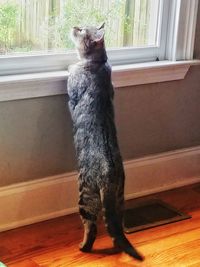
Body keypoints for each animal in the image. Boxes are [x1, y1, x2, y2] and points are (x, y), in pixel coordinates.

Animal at [68, 23, 143, 262]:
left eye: (82, 30)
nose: (75, 25)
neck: (99, 63)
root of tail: (109, 175)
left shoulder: (73, 89)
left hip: (85, 196)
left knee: (91, 228)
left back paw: (83, 247)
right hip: (120, 197)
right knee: (116, 226)